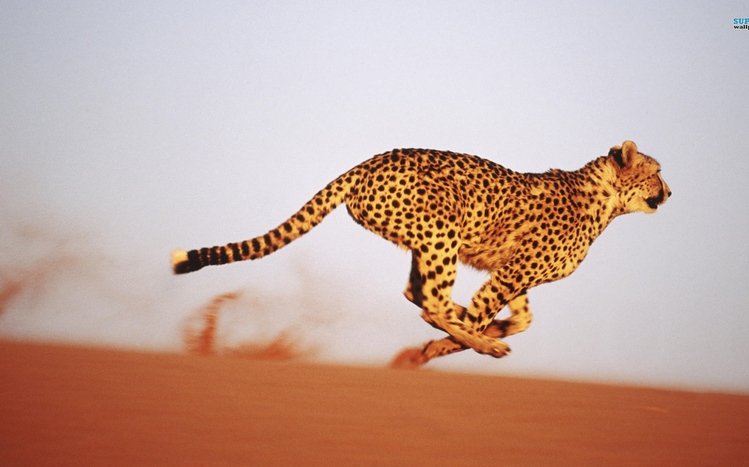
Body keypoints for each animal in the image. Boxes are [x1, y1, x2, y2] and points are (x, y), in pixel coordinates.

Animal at [171, 140, 670, 367]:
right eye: (657, 171)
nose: (670, 191)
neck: (606, 202)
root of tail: (369, 160)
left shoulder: (511, 272)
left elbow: (522, 318)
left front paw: (490, 328)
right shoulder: (512, 274)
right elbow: (481, 314)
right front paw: (452, 345)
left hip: (426, 240)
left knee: (418, 294)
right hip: (443, 231)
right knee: (428, 301)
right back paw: (477, 342)